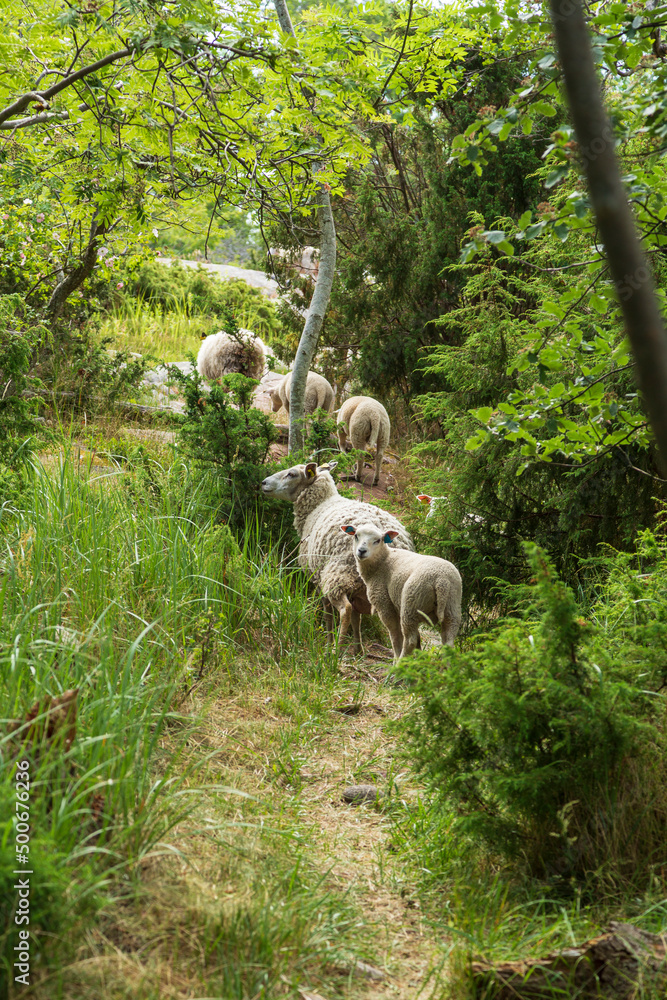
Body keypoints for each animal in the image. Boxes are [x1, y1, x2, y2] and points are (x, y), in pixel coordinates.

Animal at [260, 461, 413, 654]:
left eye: (291, 474)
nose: (263, 483)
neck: (320, 505)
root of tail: (393, 546)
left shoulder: (318, 577)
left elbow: (329, 615)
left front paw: (329, 641)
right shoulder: (356, 589)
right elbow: (357, 618)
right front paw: (358, 649)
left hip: (338, 574)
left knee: (345, 610)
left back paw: (336, 651)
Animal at [341, 522, 462, 661]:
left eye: (378, 540)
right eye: (356, 535)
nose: (361, 551)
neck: (382, 561)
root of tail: (441, 581)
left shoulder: (384, 604)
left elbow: (395, 636)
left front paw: (396, 659)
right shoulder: (396, 605)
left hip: (411, 603)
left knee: (410, 640)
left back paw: (400, 663)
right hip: (452, 606)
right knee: (448, 642)